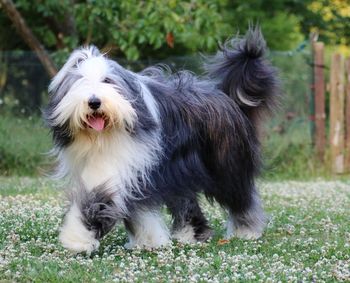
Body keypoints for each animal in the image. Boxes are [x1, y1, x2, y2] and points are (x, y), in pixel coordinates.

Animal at [44, 27, 278, 254]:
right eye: (80, 82)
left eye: (107, 81)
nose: (94, 102)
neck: (103, 137)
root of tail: (226, 97)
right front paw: (146, 240)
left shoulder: (125, 165)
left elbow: (97, 199)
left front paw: (77, 239)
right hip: (181, 170)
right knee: (186, 200)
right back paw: (190, 234)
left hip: (225, 165)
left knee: (240, 196)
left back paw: (246, 230)